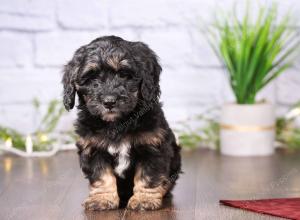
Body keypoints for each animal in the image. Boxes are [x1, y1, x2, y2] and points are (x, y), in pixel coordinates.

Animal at [62, 35, 182, 211]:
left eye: (124, 75)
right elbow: (101, 175)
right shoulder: (93, 147)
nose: (109, 101)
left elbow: (149, 174)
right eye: (91, 78)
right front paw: (102, 198)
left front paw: (144, 199)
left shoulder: (152, 146)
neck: (117, 123)